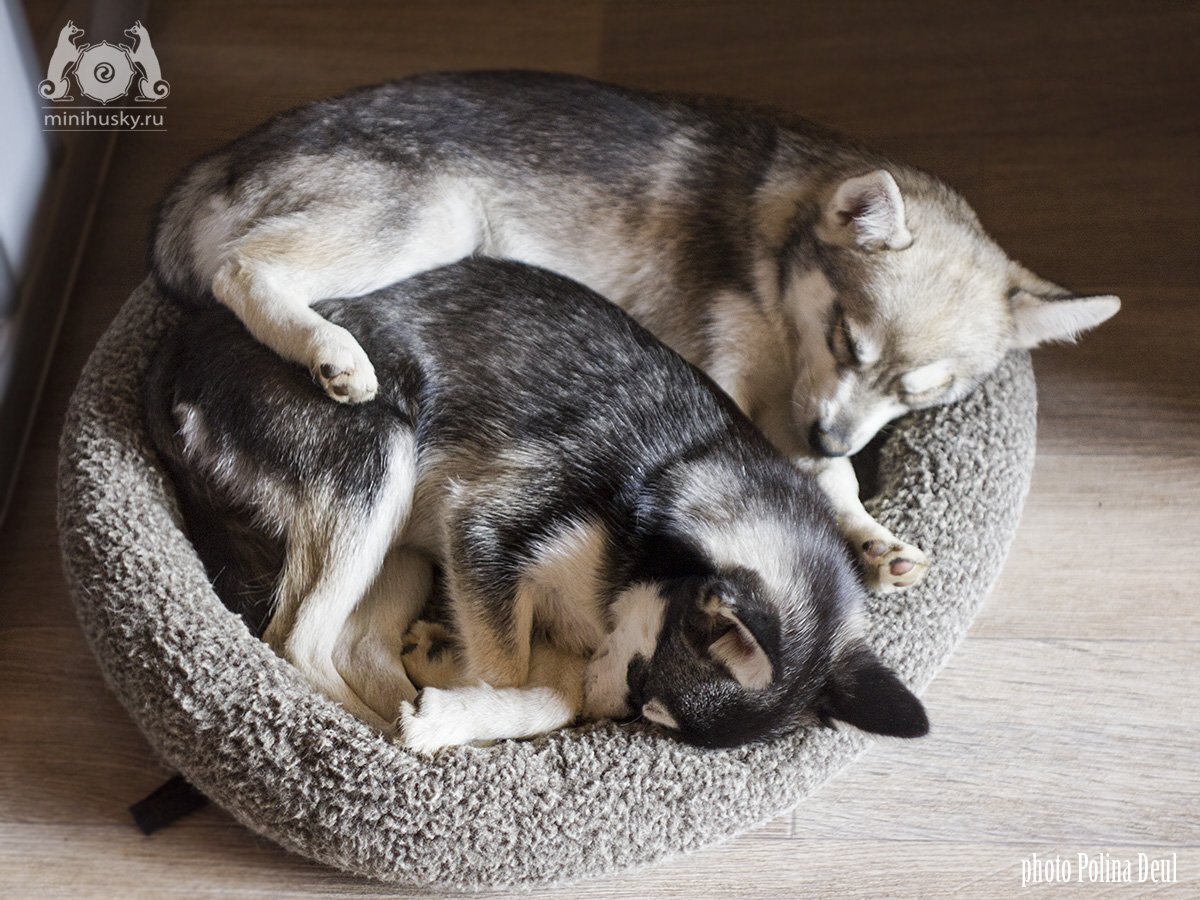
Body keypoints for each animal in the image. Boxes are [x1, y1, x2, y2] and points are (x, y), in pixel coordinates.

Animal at [145, 259, 929, 751]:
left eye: (647, 714)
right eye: (641, 690)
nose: (607, 716)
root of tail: (181, 358)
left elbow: (547, 681)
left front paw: (450, 685)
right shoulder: (482, 528)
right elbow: (525, 677)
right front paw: (475, 704)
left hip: (402, 548)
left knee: (354, 644)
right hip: (381, 460)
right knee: (298, 641)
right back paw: (388, 733)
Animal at [149, 70, 1119, 592]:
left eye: (923, 398)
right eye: (849, 340)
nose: (828, 432)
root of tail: (218, 161)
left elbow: (829, 471)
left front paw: (869, 534)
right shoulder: (741, 379)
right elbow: (812, 472)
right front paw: (848, 513)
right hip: (439, 214)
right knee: (243, 271)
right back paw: (329, 352)